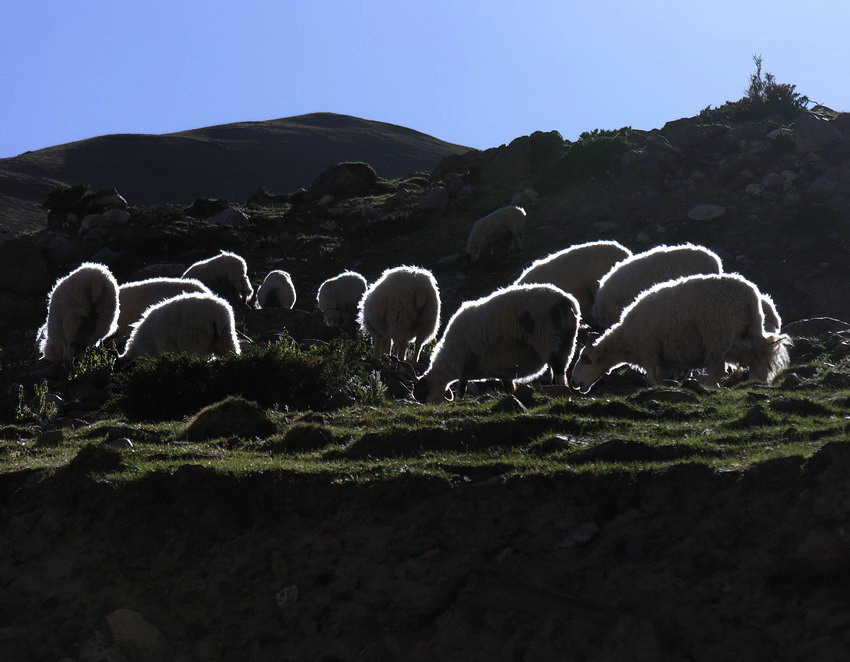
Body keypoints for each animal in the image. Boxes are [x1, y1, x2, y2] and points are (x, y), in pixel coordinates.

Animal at [412, 284, 584, 404]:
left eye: (422, 394)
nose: (428, 406)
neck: (447, 363)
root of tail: (566, 300)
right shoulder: (504, 371)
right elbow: (508, 387)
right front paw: (511, 396)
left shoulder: (463, 364)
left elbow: (462, 387)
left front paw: (461, 400)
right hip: (567, 343)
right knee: (560, 370)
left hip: (549, 339)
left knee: (558, 370)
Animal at [568, 272, 792, 392]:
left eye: (585, 359)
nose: (575, 383)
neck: (625, 340)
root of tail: (751, 297)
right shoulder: (666, 358)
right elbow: (662, 376)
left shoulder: (649, 347)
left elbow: (651, 377)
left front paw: (657, 388)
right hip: (741, 333)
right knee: (762, 351)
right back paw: (758, 379)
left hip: (717, 333)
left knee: (719, 368)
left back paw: (709, 384)